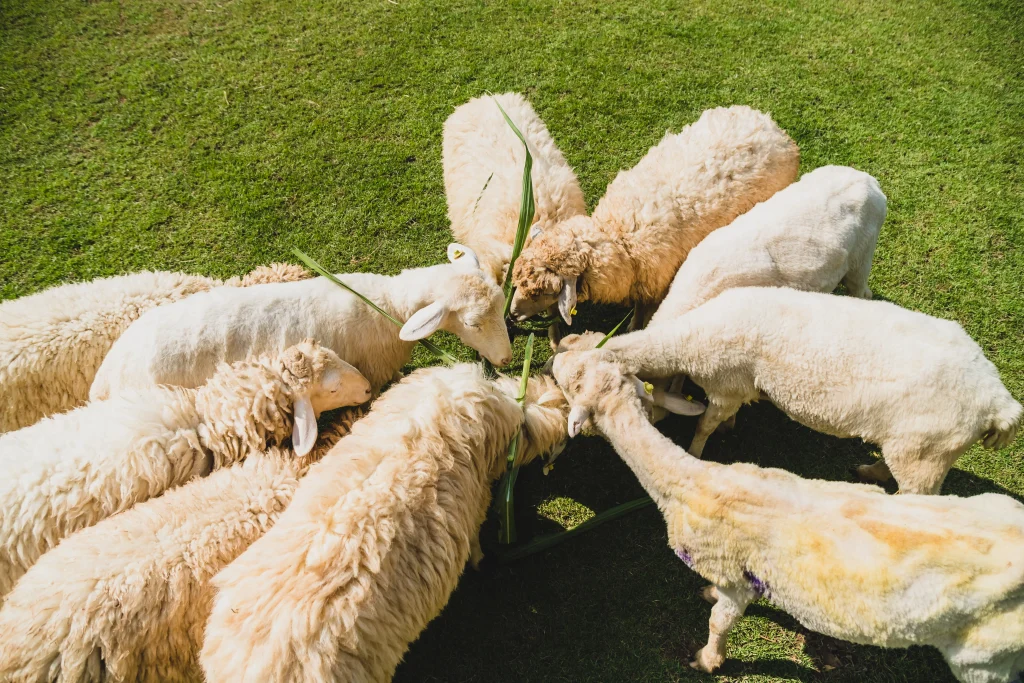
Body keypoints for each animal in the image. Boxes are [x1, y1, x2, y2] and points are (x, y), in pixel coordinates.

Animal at [510, 105, 800, 327]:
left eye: (545, 292)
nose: (511, 314)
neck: (617, 235)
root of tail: (771, 125)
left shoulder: (654, 284)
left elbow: (643, 315)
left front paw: (633, 329)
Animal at [552, 355, 1024, 683]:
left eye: (575, 382)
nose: (551, 358)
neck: (692, 485)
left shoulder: (736, 574)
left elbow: (719, 621)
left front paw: (708, 660)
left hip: (984, 658)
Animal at [564, 286, 1022, 494]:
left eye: (574, 385)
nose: (551, 364)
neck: (690, 335)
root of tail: (997, 402)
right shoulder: (735, 389)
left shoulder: (726, 385)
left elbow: (705, 426)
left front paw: (695, 452)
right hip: (916, 447)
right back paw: (870, 470)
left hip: (926, 455)